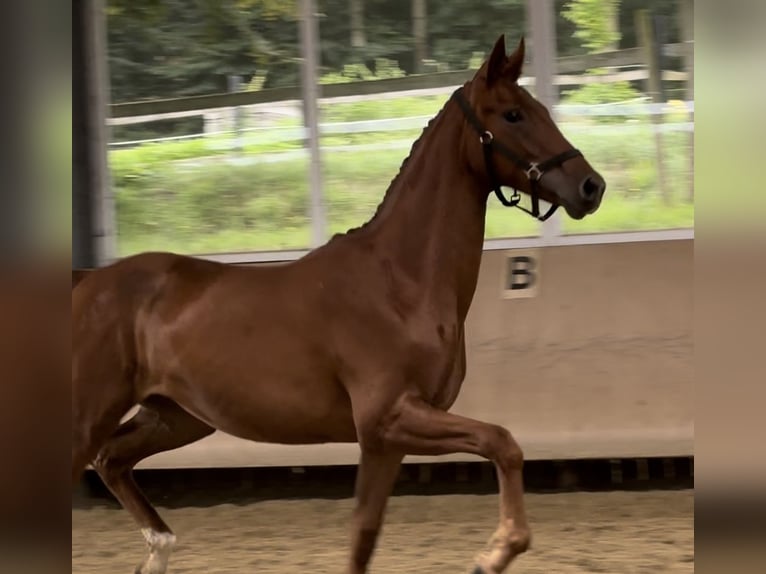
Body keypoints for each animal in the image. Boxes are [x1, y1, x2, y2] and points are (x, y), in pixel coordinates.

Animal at [75, 37, 608, 574]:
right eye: (514, 114)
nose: (591, 186)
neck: (400, 282)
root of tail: (86, 284)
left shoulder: (388, 441)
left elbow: (364, 537)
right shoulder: (386, 419)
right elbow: (503, 442)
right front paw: (497, 551)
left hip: (176, 416)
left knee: (112, 459)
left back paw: (158, 550)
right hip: (94, 418)